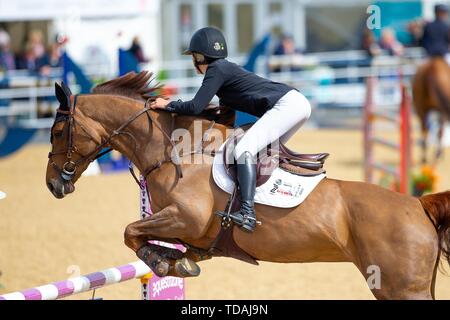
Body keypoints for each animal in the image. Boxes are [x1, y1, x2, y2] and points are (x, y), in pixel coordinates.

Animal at [46, 71, 450, 298]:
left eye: (58, 131)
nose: (52, 184)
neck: (176, 149)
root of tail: (419, 204)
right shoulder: (186, 228)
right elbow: (150, 238)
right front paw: (179, 261)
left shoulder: (184, 217)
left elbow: (130, 232)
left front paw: (163, 263)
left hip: (400, 287)